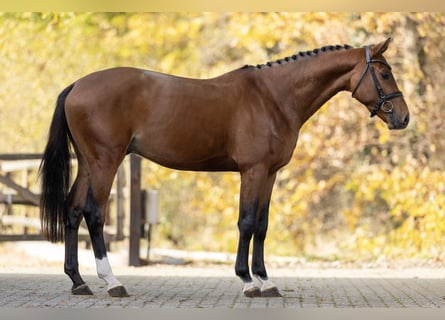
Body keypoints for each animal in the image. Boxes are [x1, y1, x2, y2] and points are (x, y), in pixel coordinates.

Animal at [40, 38, 408, 298]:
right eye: (385, 73)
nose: (403, 118)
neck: (274, 97)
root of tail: (77, 85)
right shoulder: (253, 171)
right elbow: (246, 222)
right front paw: (247, 281)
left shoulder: (270, 174)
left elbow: (262, 225)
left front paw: (265, 280)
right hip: (106, 161)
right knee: (93, 213)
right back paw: (112, 282)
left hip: (88, 163)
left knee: (72, 211)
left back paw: (78, 281)